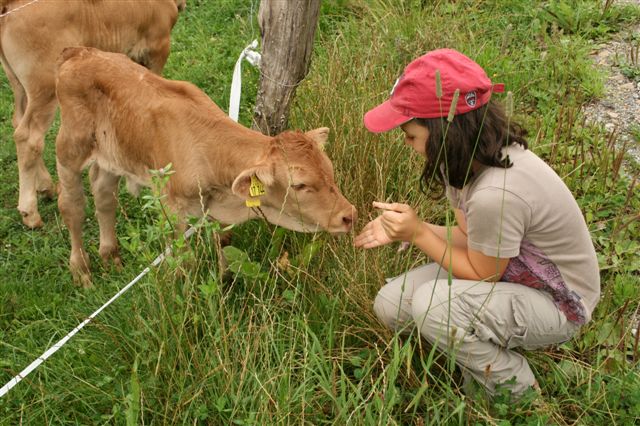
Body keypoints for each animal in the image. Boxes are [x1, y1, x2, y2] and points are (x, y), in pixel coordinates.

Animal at [0, 0, 185, 230]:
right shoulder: (157, 45)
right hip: (45, 87)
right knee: (29, 136)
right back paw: (30, 212)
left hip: (19, 86)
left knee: (19, 123)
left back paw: (46, 187)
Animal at [53, 46, 358, 286]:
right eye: (300, 185)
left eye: (330, 172)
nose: (349, 215)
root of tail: (79, 52)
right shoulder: (170, 207)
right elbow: (184, 259)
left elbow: (223, 241)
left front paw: (224, 281)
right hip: (69, 149)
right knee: (72, 206)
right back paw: (82, 271)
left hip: (113, 155)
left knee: (104, 195)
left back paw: (110, 256)